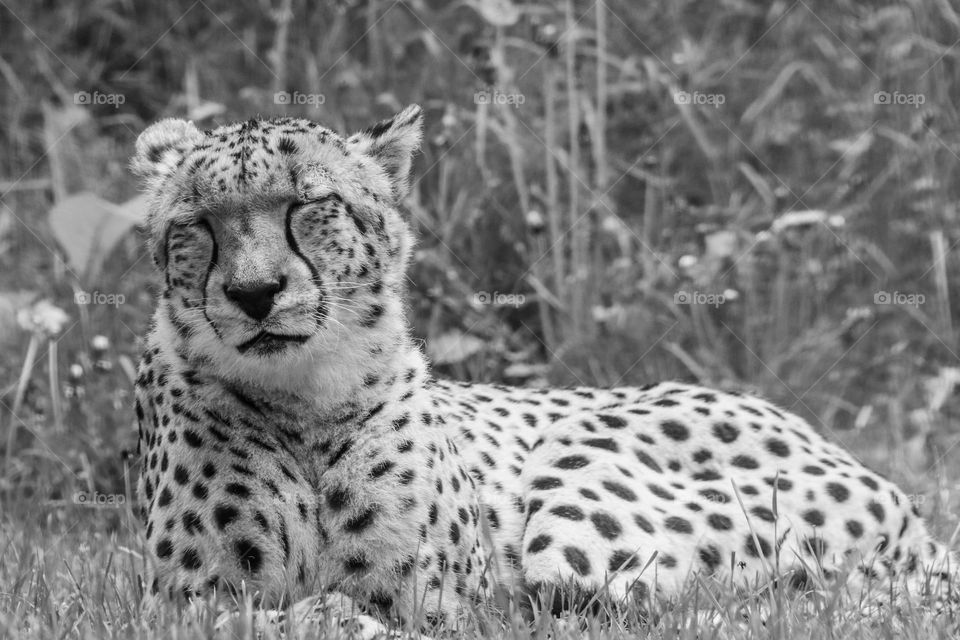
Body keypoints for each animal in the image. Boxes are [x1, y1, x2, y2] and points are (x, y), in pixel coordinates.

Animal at [131, 105, 955, 635]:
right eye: (197, 224)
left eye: (309, 205)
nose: (254, 293)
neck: (302, 399)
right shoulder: (177, 604)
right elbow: (253, 615)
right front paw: (321, 614)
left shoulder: (448, 609)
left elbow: (363, 615)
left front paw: (333, 615)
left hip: (580, 492)